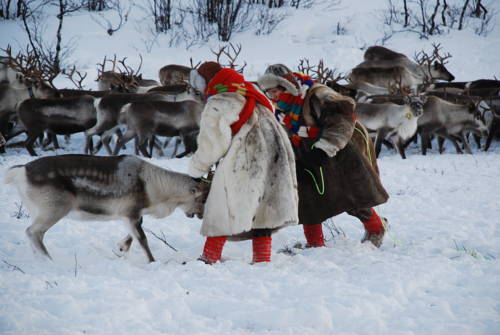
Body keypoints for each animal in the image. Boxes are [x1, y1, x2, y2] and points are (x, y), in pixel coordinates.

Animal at [5, 154, 209, 262]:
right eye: (202, 200)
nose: (201, 216)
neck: (155, 189)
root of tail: (20, 171)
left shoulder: (129, 214)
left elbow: (134, 234)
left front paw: (121, 248)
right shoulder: (131, 212)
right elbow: (143, 239)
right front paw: (152, 262)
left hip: (37, 210)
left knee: (32, 233)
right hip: (54, 209)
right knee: (33, 232)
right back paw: (49, 259)